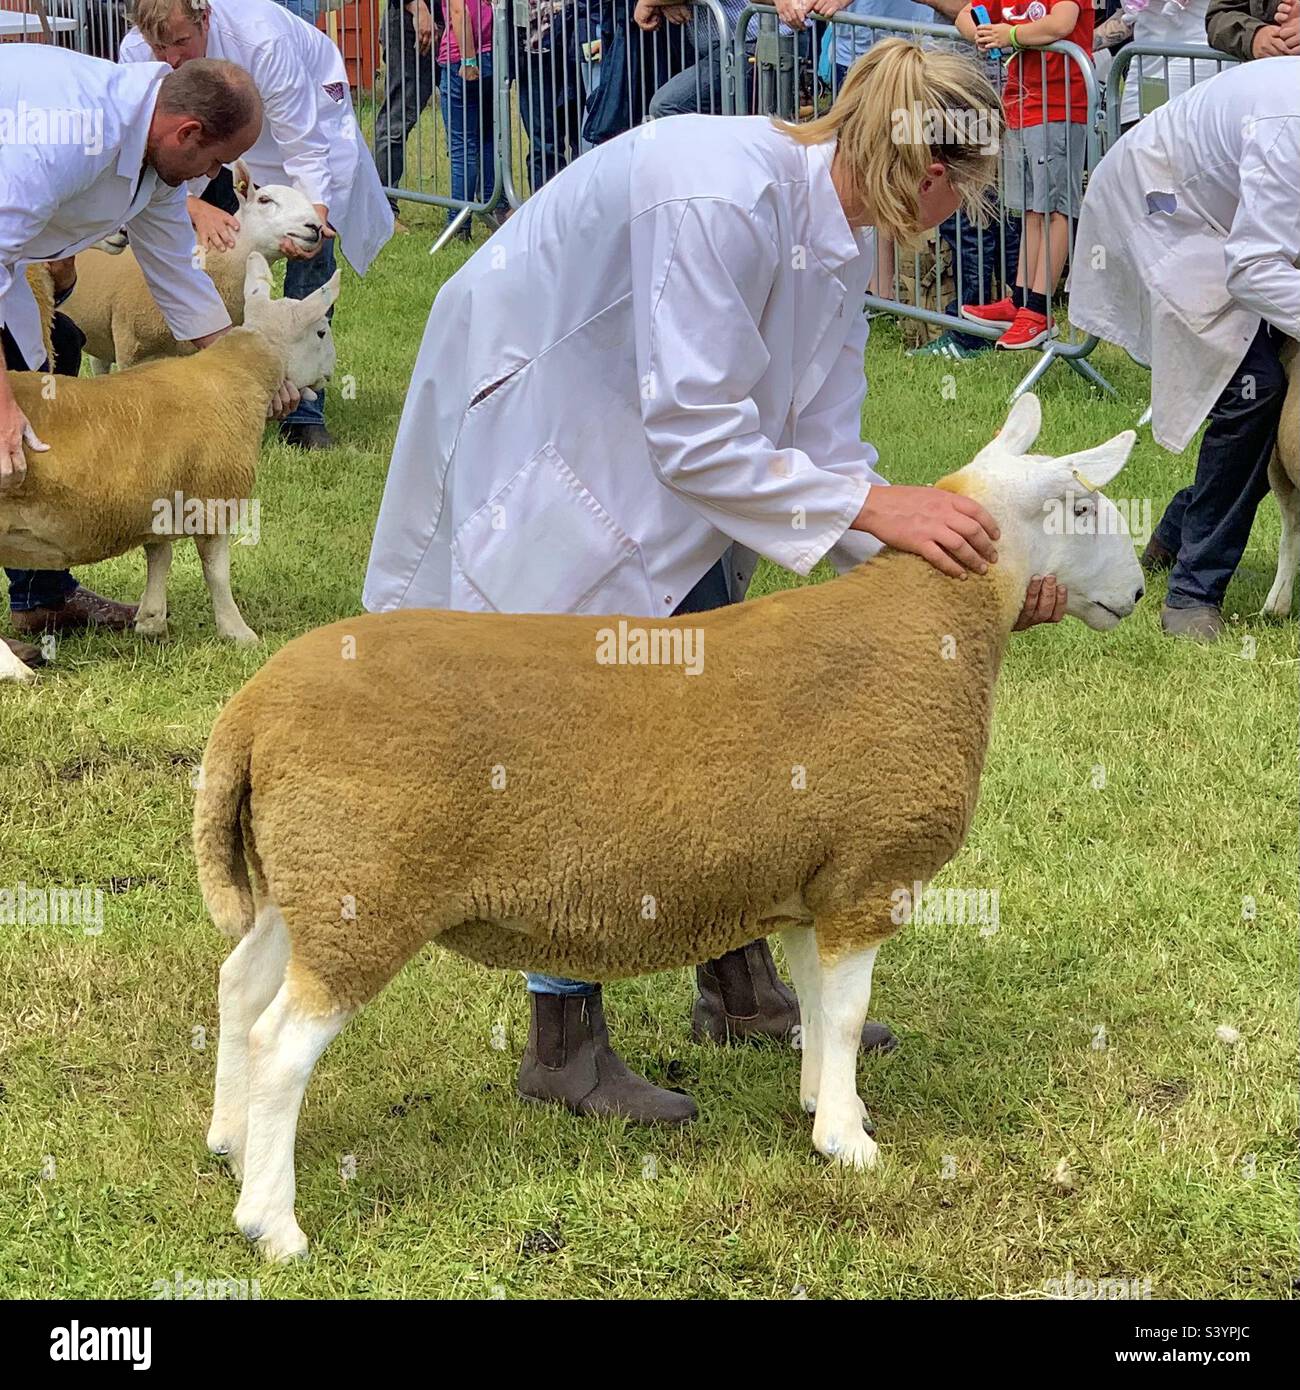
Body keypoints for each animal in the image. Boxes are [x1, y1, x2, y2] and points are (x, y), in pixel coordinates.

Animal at [187, 391, 1145, 1262]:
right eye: (1084, 507)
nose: (1136, 592)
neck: (943, 621)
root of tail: (253, 711)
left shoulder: (810, 881)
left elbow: (815, 1006)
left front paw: (820, 1103)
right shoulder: (870, 873)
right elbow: (844, 1014)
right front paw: (850, 1143)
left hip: (308, 877)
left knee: (239, 987)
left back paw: (230, 1144)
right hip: (364, 889)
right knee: (282, 1044)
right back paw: (272, 1225)